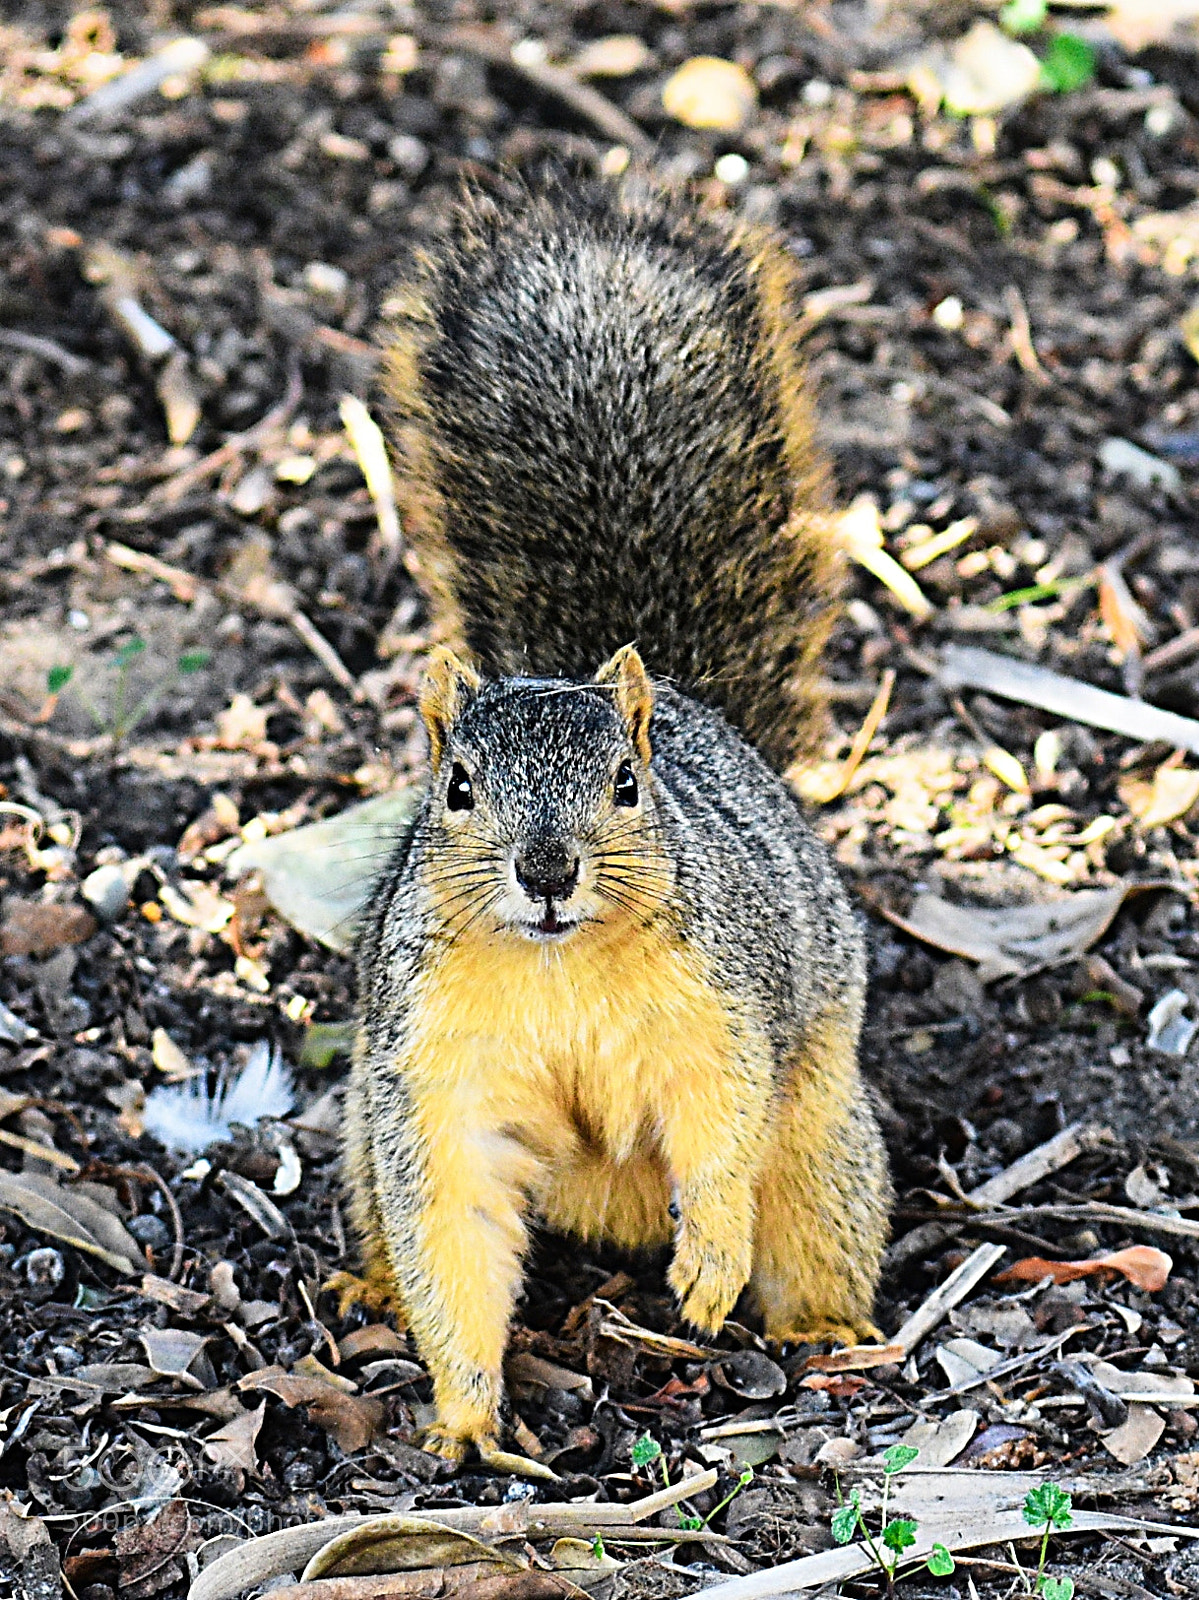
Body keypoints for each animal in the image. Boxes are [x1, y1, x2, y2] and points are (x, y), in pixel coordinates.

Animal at [342, 182, 891, 1462]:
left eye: (626, 787)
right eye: (455, 788)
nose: (547, 870)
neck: (555, 969)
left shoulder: (718, 1013)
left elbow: (721, 1126)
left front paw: (708, 1266)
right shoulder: (428, 1076)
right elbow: (449, 1215)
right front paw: (467, 1416)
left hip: (821, 1137)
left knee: (805, 1206)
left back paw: (822, 1332)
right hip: (356, 1128)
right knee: (391, 1222)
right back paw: (366, 1289)